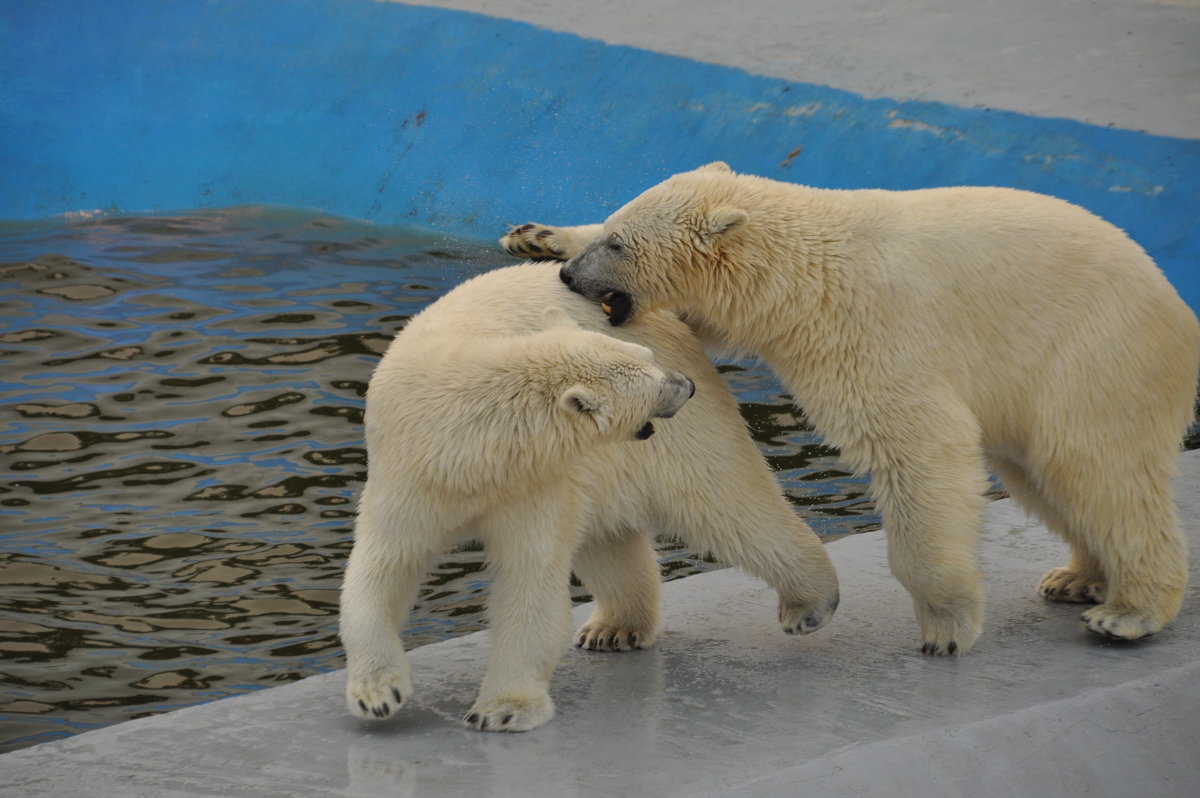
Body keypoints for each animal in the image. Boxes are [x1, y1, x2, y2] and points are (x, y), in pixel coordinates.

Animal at [343, 262, 840, 734]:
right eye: (650, 379)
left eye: (647, 357)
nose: (684, 385)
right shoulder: (410, 475)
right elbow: (382, 569)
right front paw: (378, 695)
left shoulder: (531, 482)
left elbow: (530, 580)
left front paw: (502, 710)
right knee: (609, 539)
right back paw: (615, 628)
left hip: (679, 441)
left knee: (726, 503)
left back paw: (809, 605)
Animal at [506, 160, 1200, 652]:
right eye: (608, 229)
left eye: (620, 245)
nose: (569, 278)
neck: (811, 267)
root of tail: (1177, 310)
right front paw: (535, 237)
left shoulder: (879, 331)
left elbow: (919, 450)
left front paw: (946, 625)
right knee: (1045, 476)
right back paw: (1077, 576)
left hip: (1093, 355)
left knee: (1096, 467)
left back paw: (1128, 612)